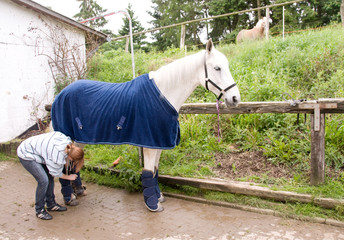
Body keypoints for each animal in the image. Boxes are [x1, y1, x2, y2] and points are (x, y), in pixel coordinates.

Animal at [51, 39, 241, 212]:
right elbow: (148, 172)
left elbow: (155, 171)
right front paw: (152, 204)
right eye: (217, 68)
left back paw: (78, 191)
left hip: (80, 139)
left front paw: (158, 197)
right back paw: (69, 198)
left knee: (72, 164)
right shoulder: (150, 144)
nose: (235, 99)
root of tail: (60, 94)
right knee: (64, 165)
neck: (163, 94)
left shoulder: (158, 143)